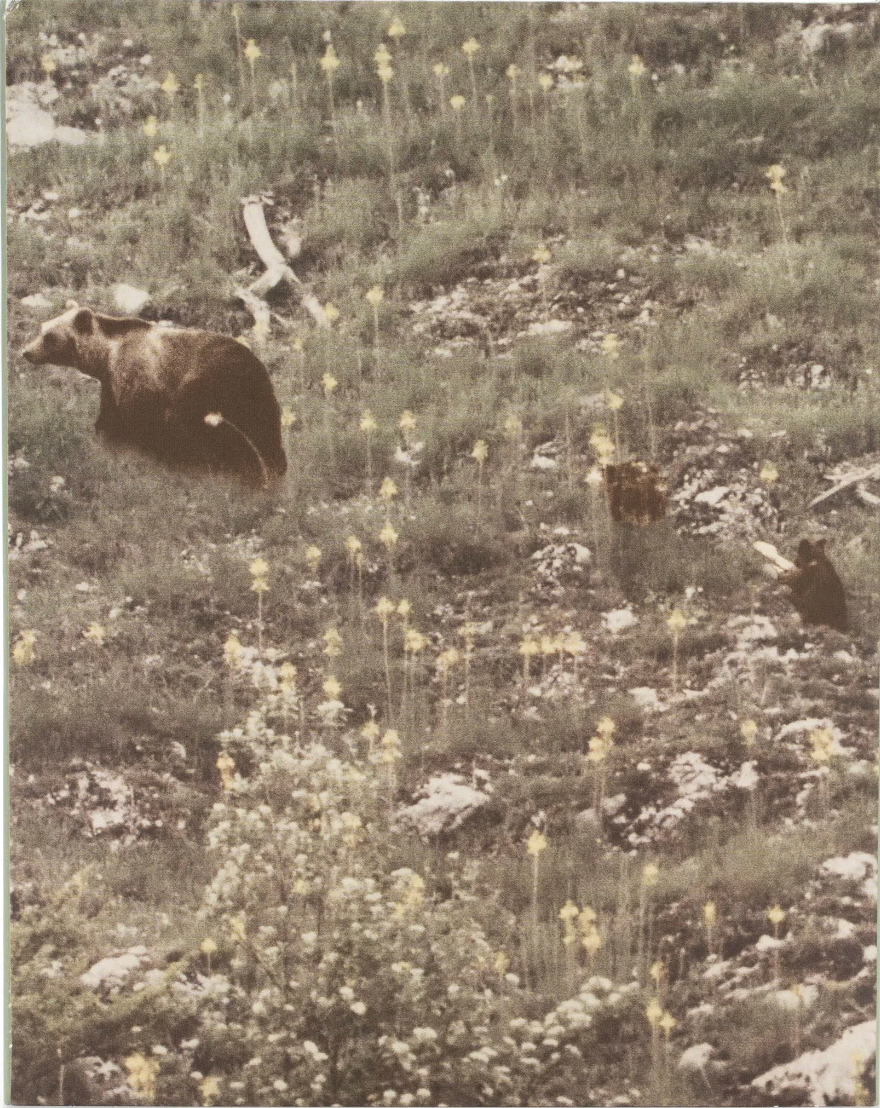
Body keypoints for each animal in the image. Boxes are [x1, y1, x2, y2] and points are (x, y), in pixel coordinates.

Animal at [22, 303, 287, 486]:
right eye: (42, 328)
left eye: (49, 336)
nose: (26, 351)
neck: (105, 357)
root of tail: (250, 366)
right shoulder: (111, 386)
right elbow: (109, 421)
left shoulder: (140, 378)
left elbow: (141, 426)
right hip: (254, 398)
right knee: (265, 433)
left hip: (205, 385)